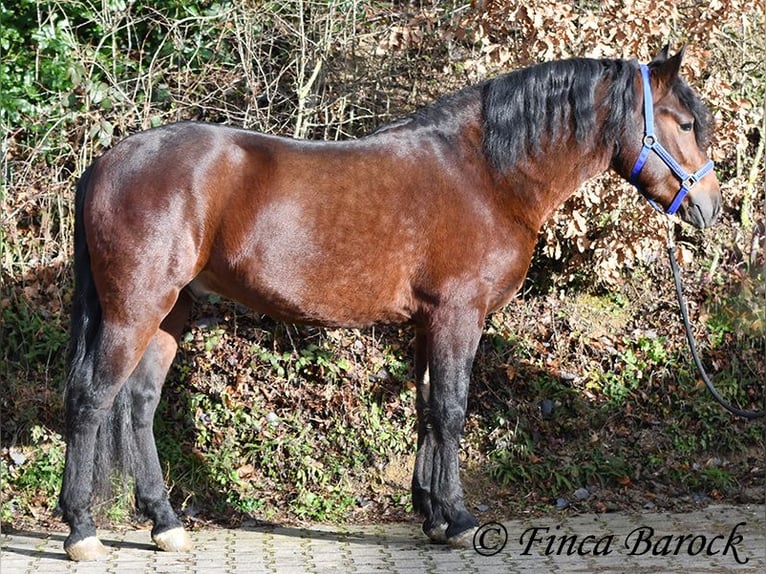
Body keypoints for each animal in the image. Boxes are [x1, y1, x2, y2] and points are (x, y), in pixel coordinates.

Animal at [59, 45, 720, 560]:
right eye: (685, 123)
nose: (710, 208)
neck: (486, 174)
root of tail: (106, 162)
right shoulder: (458, 315)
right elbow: (452, 411)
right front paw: (459, 519)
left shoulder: (430, 321)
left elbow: (427, 410)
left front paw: (431, 515)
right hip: (134, 310)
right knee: (92, 399)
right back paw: (82, 530)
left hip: (171, 314)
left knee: (139, 405)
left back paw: (165, 524)